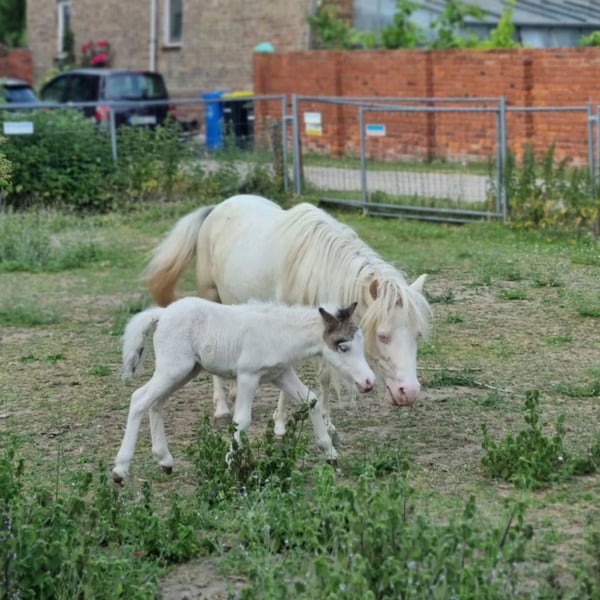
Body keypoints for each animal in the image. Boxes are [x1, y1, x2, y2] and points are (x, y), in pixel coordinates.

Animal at [111, 298, 374, 484]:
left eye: (362, 343)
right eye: (343, 346)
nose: (369, 382)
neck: (280, 333)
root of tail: (163, 313)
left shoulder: (281, 374)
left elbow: (312, 400)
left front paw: (331, 455)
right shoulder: (248, 375)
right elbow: (242, 420)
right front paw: (230, 465)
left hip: (185, 371)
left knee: (156, 403)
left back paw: (165, 461)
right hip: (173, 369)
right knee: (139, 399)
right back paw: (120, 470)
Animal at [145, 194, 431, 440]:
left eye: (418, 335)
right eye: (382, 336)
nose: (410, 392)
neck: (313, 268)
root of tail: (217, 207)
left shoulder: (327, 330)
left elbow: (325, 375)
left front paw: (327, 422)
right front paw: (280, 424)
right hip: (210, 294)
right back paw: (222, 410)